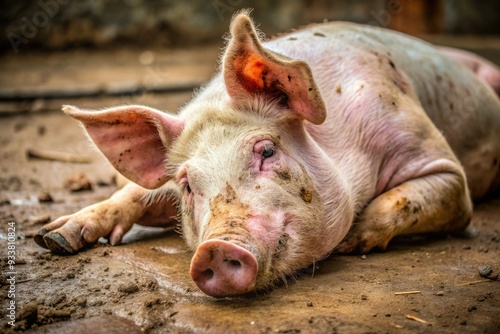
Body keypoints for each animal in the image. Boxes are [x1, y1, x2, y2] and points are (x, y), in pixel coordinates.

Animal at [35, 11, 500, 298]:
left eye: (267, 150)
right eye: (187, 185)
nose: (215, 247)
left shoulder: (440, 165)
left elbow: (427, 198)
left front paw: (351, 242)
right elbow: (134, 193)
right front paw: (51, 237)